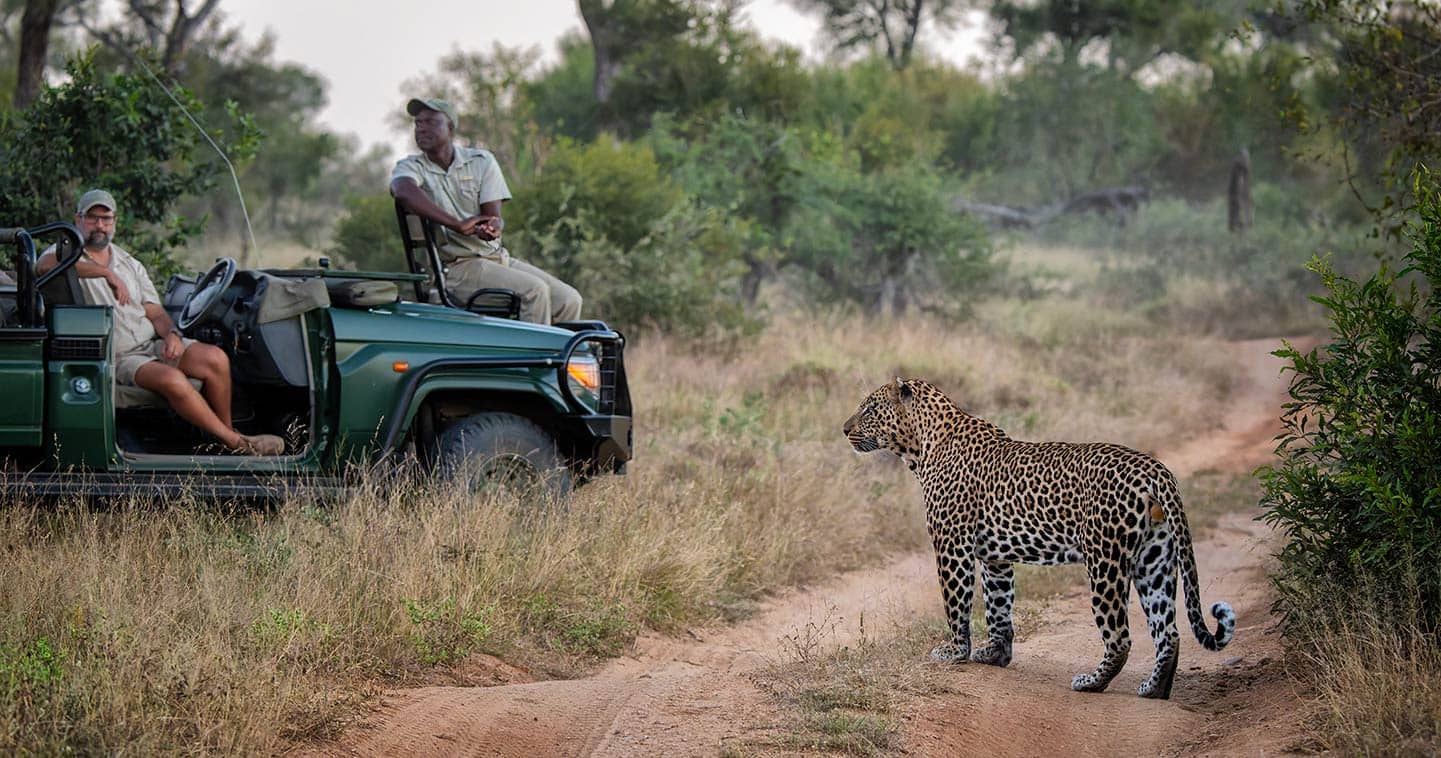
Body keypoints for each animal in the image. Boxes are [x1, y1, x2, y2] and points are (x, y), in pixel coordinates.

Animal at [841, 377, 1233, 700]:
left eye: (870, 409)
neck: (921, 445)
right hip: (1154, 558)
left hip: (1105, 559)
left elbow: (956, 602)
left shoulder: (951, 544)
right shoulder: (995, 557)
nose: (844, 429)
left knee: (1120, 637)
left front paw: (954, 651)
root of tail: (1155, 469)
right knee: (1168, 632)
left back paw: (1092, 683)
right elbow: (999, 606)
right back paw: (1154, 689)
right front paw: (994, 654)